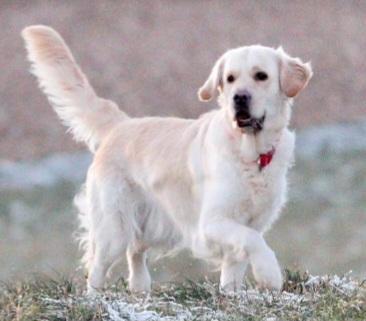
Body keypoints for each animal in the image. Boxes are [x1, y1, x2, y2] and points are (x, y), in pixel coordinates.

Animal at [21, 25, 312, 292]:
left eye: (261, 76)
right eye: (229, 79)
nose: (239, 97)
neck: (250, 154)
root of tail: (120, 125)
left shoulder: (253, 222)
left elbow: (236, 263)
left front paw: (232, 295)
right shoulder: (212, 222)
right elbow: (252, 241)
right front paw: (269, 274)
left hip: (149, 224)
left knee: (135, 252)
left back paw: (140, 291)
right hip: (114, 227)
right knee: (97, 268)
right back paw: (95, 299)